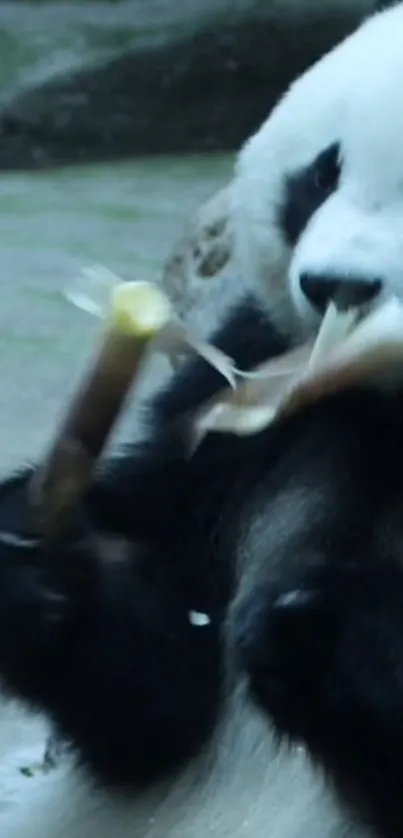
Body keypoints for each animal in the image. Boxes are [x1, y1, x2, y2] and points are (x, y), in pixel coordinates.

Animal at [0, 1, 403, 838]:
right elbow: (162, 700)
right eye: (320, 176)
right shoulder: (254, 387)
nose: (336, 286)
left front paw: (318, 625)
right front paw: (47, 562)